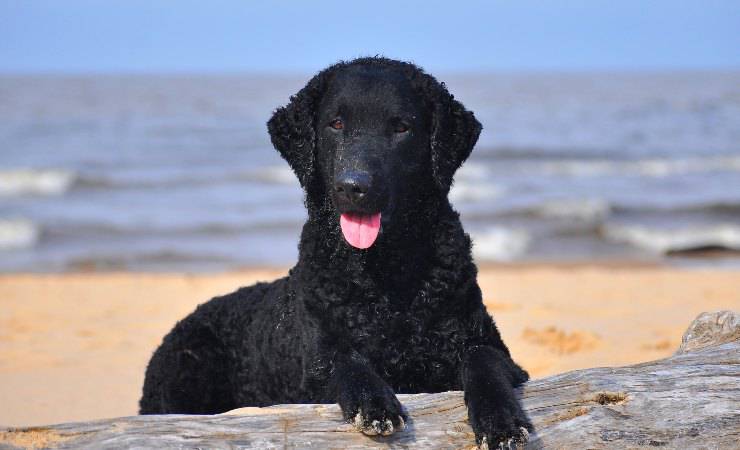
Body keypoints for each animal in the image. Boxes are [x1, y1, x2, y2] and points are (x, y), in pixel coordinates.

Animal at [140, 58, 532, 448]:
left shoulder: (490, 347)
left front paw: (501, 420)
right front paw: (373, 403)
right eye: (336, 123)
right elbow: (342, 358)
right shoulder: (313, 364)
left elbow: (482, 359)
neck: (385, 278)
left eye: (401, 127)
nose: (353, 186)